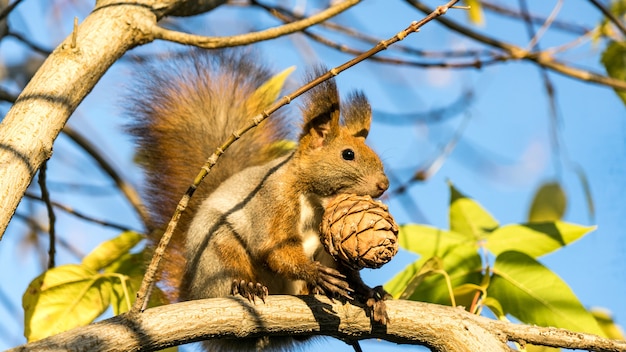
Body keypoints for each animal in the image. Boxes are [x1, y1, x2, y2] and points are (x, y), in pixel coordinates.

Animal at [126, 48, 388, 350]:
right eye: (348, 154)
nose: (384, 184)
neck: (316, 200)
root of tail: (190, 290)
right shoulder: (274, 201)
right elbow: (273, 248)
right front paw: (315, 272)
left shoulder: (331, 242)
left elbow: (348, 272)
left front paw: (370, 296)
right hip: (217, 254)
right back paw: (246, 285)